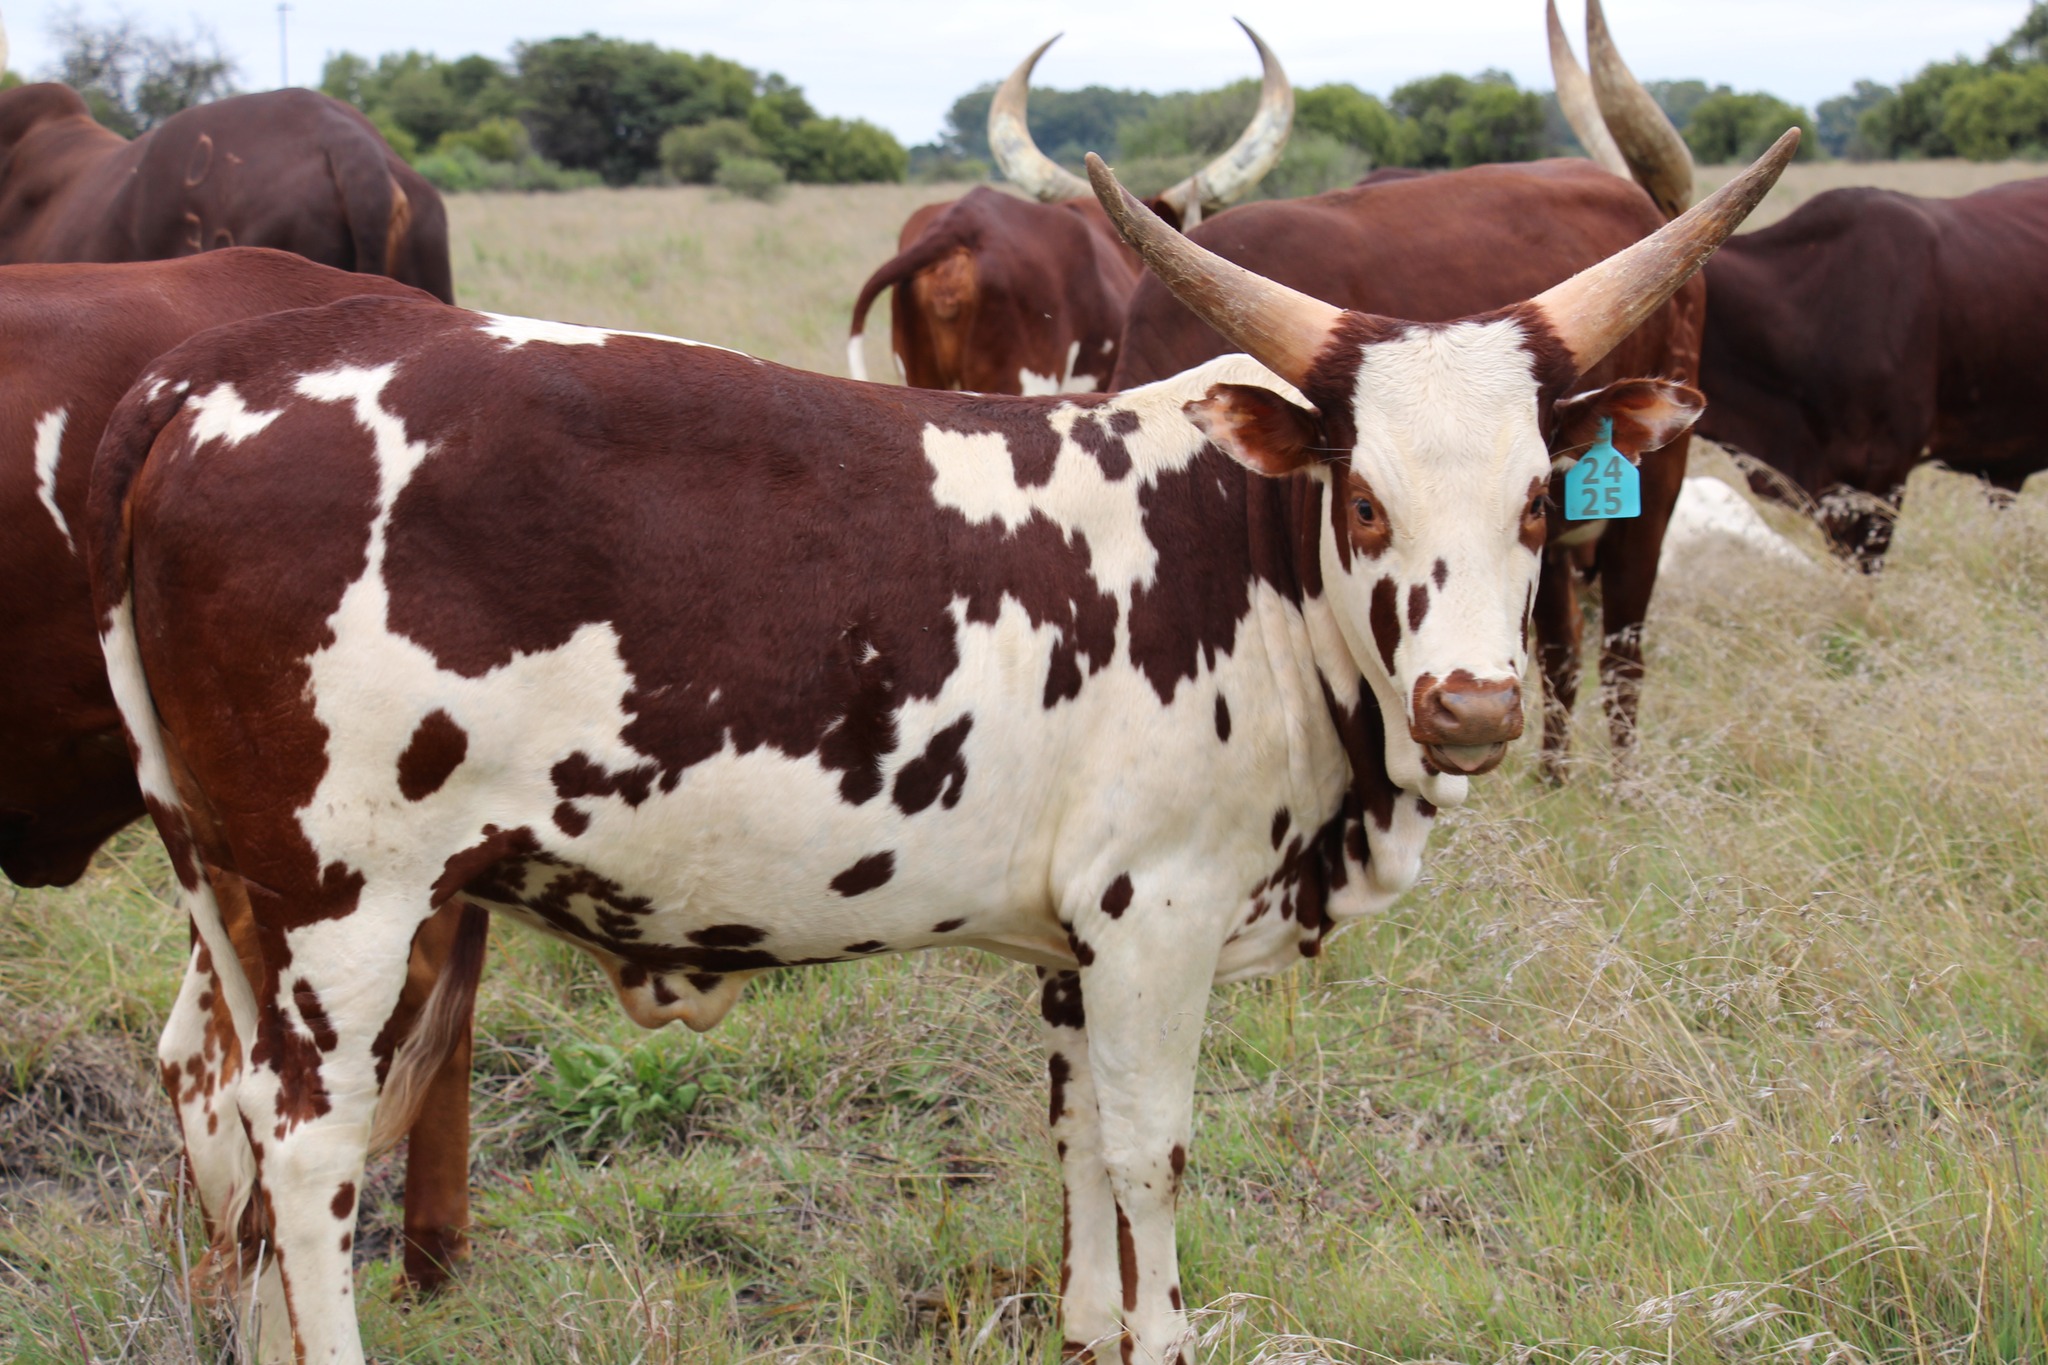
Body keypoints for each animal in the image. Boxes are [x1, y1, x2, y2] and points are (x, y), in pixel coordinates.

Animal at [84, 135, 1791, 1361]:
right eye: (1365, 499)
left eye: (1536, 500)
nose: (1474, 705)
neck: (1239, 548)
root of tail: (212, 377)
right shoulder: (1161, 915)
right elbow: (1153, 1160)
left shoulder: (1081, 945)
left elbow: (1083, 1161)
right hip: (350, 897)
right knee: (308, 1152)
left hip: (232, 891)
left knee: (213, 1104)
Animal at [1110, 0, 1715, 778]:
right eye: (1365, 506)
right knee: (1564, 644)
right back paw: (1554, 779)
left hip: (1654, 487)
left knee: (1622, 654)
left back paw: (1621, 788)